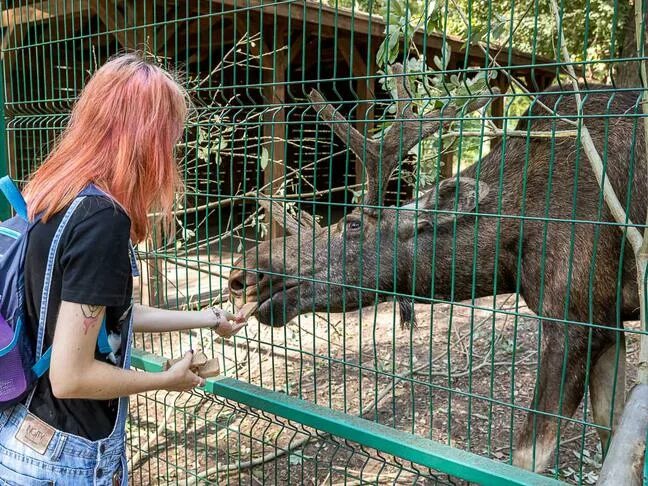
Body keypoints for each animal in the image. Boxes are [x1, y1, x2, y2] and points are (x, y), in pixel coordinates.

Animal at [227, 64, 644, 470]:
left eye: (354, 224)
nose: (241, 273)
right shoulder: (608, 320)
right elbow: (611, 430)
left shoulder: (576, 320)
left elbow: (528, 457)